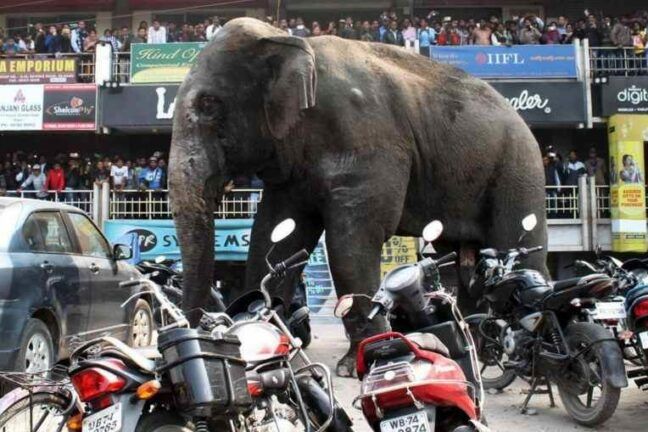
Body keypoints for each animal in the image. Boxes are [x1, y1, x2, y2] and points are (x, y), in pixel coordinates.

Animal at [168, 18, 548, 376]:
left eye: (208, 104)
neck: (291, 41)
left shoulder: (366, 137)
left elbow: (351, 241)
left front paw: (357, 363)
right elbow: (275, 235)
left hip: (519, 168)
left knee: (518, 247)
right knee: (465, 263)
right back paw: (479, 351)